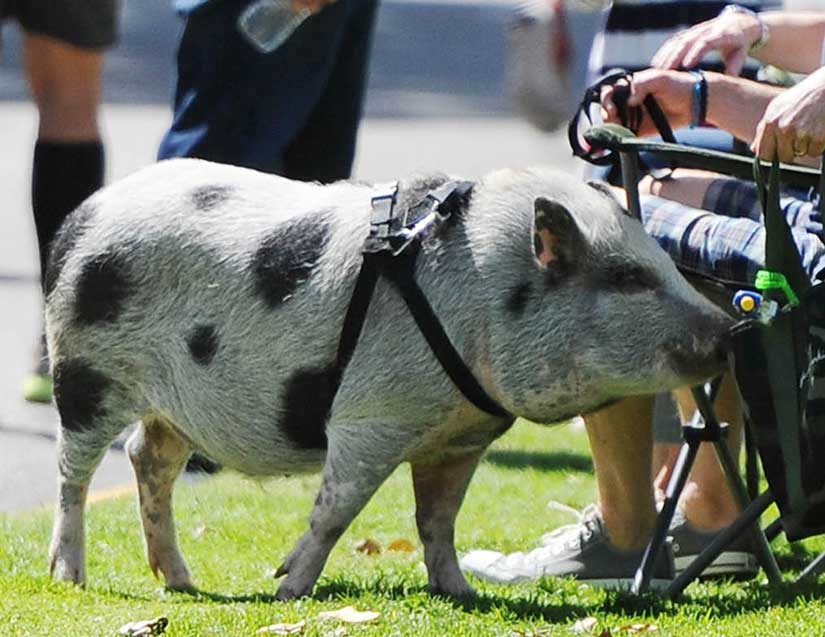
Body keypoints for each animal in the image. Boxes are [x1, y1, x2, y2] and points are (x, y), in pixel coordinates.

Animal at [45, 158, 732, 596]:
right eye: (627, 278)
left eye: (664, 264)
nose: (732, 328)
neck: (484, 295)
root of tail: (80, 217)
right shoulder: (371, 417)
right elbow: (335, 510)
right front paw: (288, 588)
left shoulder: (460, 434)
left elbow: (438, 521)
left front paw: (461, 592)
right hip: (83, 371)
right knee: (75, 472)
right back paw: (71, 577)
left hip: (172, 405)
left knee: (147, 458)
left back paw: (182, 582)